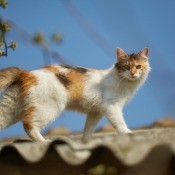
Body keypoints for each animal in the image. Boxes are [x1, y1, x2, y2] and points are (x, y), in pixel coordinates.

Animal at [0, 47, 150, 141]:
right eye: (126, 67)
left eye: (138, 67)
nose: (133, 73)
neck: (125, 83)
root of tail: (28, 73)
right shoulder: (112, 107)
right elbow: (119, 122)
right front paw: (127, 132)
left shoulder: (95, 112)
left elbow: (88, 129)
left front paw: (86, 141)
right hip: (50, 107)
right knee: (28, 124)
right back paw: (43, 142)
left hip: (11, 109)